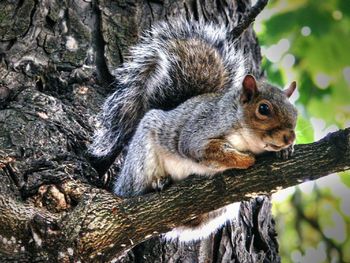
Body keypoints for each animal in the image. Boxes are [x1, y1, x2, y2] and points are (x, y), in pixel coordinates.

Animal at [89, 19, 296, 243]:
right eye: (263, 109)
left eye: (295, 112)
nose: (289, 138)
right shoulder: (200, 132)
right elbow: (208, 151)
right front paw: (245, 159)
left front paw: (286, 150)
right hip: (140, 163)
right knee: (133, 189)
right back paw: (156, 183)